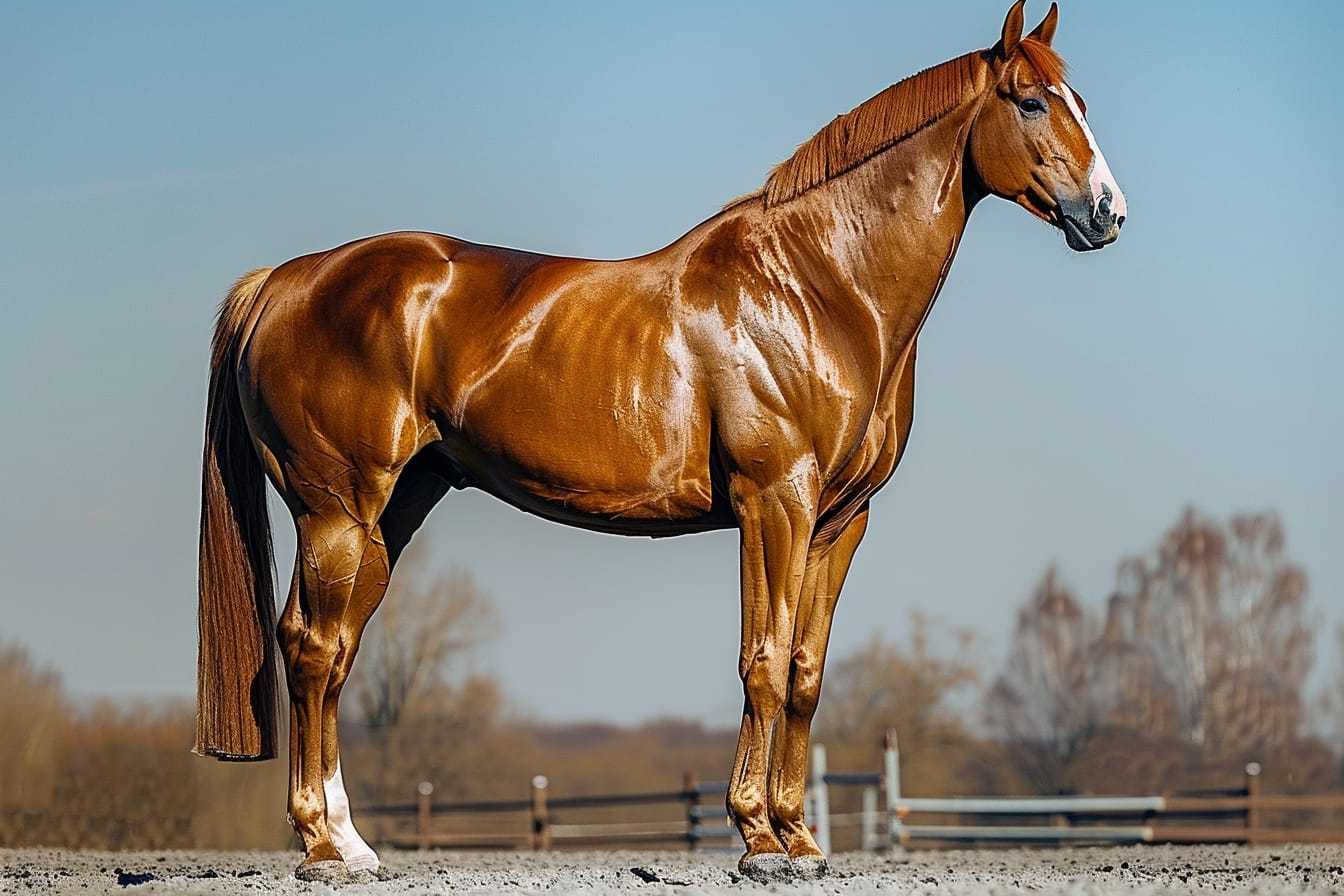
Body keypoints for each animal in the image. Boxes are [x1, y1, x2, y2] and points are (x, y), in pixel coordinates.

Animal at [195, 1, 1125, 883]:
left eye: (1082, 99)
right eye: (1032, 101)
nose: (1108, 214)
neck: (819, 287)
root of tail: (286, 280)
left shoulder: (839, 520)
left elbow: (806, 673)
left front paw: (801, 838)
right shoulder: (773, 501)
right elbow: (763, 660)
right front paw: (758, 840)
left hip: (389, 513)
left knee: (334, 653)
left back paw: (353, 845)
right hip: (335, 510)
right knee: (311, 649)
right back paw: (320, 847)